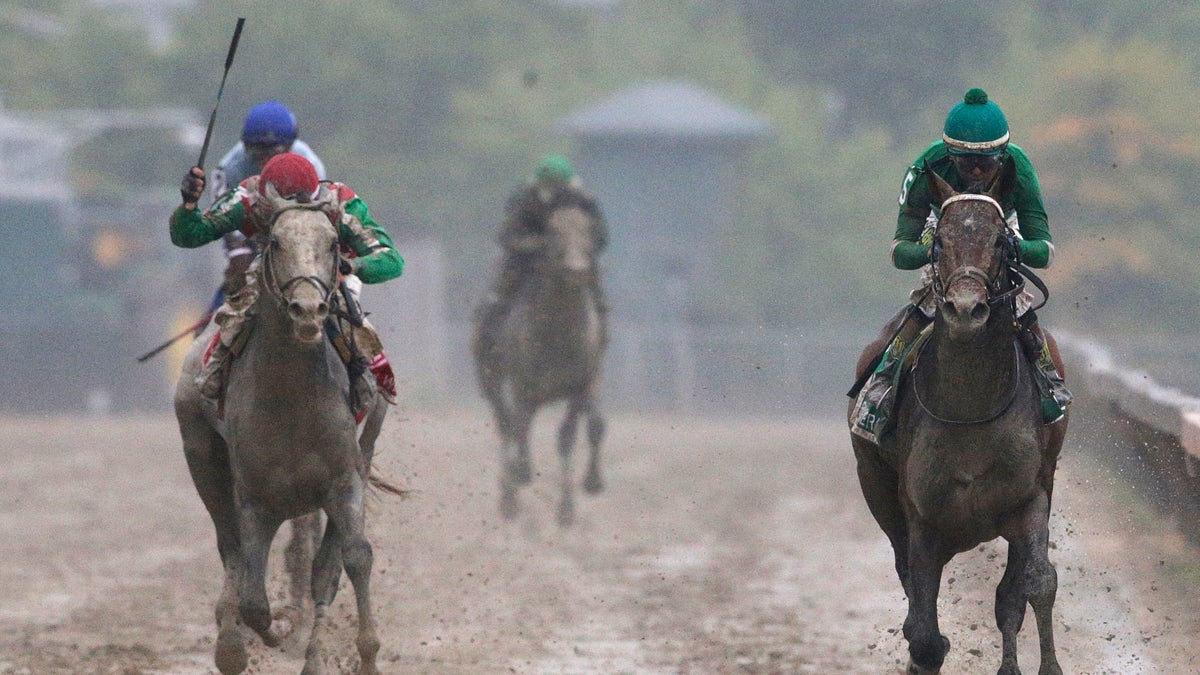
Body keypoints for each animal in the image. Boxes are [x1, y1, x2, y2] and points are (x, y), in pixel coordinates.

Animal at [472, 205, 609, 526]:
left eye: (587, 230)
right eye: (554, 232)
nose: (576, 270)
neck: (558, 334)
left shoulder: (582, 383)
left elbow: (577, 432)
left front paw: (578, 498)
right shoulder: (524, 384)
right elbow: (519, 427)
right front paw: (521, 473)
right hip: (491, 378)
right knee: (507, 424)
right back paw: (509, 497)